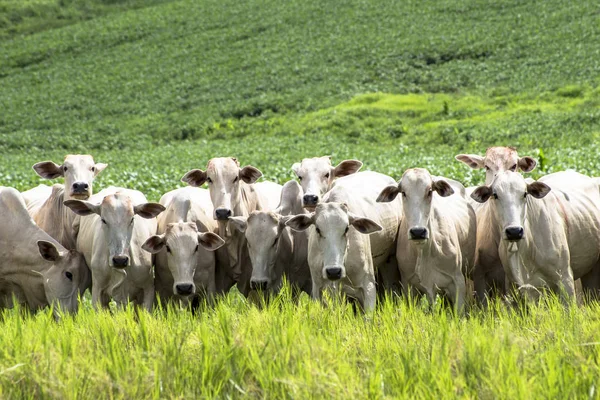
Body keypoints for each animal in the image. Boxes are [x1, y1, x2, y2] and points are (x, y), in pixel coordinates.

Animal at [288, 172, 400, 312]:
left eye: (346, 228)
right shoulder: (318, 287)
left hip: (390, 262)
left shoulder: (368, 285)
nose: (333, 271)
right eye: (318, 229)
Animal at [378, 169, 476, 312]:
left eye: (429, 191)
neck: (424, 250)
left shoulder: (457, 283)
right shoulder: (409, 286)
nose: (418, 232)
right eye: (403, 193)